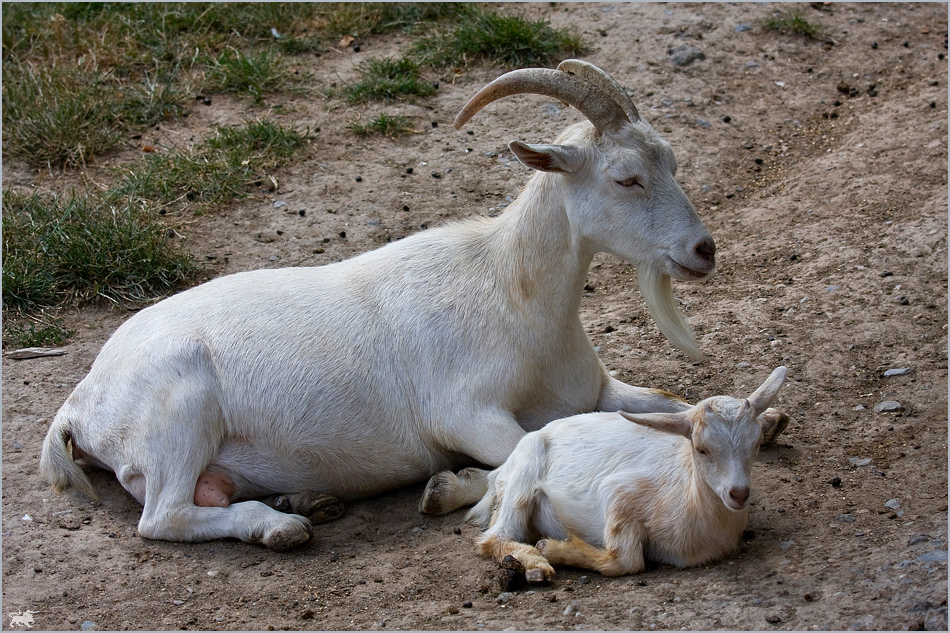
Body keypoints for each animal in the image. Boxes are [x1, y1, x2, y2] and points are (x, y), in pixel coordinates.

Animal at [42, 61, 768, 552]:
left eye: (670, 160)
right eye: (626, 177)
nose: (702, 250)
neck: (513, 295)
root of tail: (79, 402)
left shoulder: (595, 389)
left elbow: (664, 400)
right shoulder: (463, 411)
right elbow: (522, 449)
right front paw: (451, 487)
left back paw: (306, 497)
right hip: (180, 411)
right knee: (163, 514)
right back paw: (280, 525)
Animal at [468, 366, 788, 576]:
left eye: (756, 444)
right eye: (701, 448)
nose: (739, 494)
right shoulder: (619, 493)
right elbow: (626, 561)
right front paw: (552, 549)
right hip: (524, 472)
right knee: (495, 536)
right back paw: (534, 565)